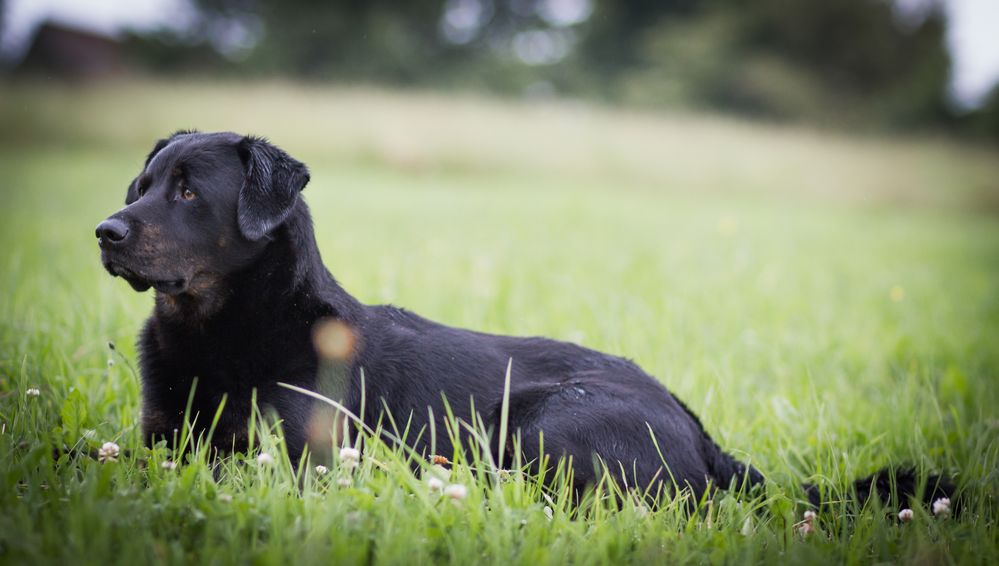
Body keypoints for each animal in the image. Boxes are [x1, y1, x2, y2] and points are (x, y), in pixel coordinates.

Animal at [99, 132, 952, 510]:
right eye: (140, 186)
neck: (218, 330)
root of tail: (704, 439)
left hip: (542, 425)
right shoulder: (159, 437)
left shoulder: (299, 460)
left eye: (187, 191)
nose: (104, 231)